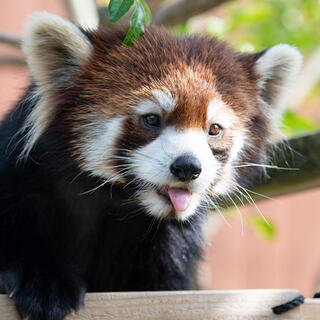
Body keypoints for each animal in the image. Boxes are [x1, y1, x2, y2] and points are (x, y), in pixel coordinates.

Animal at [0, 12, 302, 320]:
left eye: (214, 129)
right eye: (152, 119)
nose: (187, 167)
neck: (114, 204)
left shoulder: (170, 245)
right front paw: (44, 283)